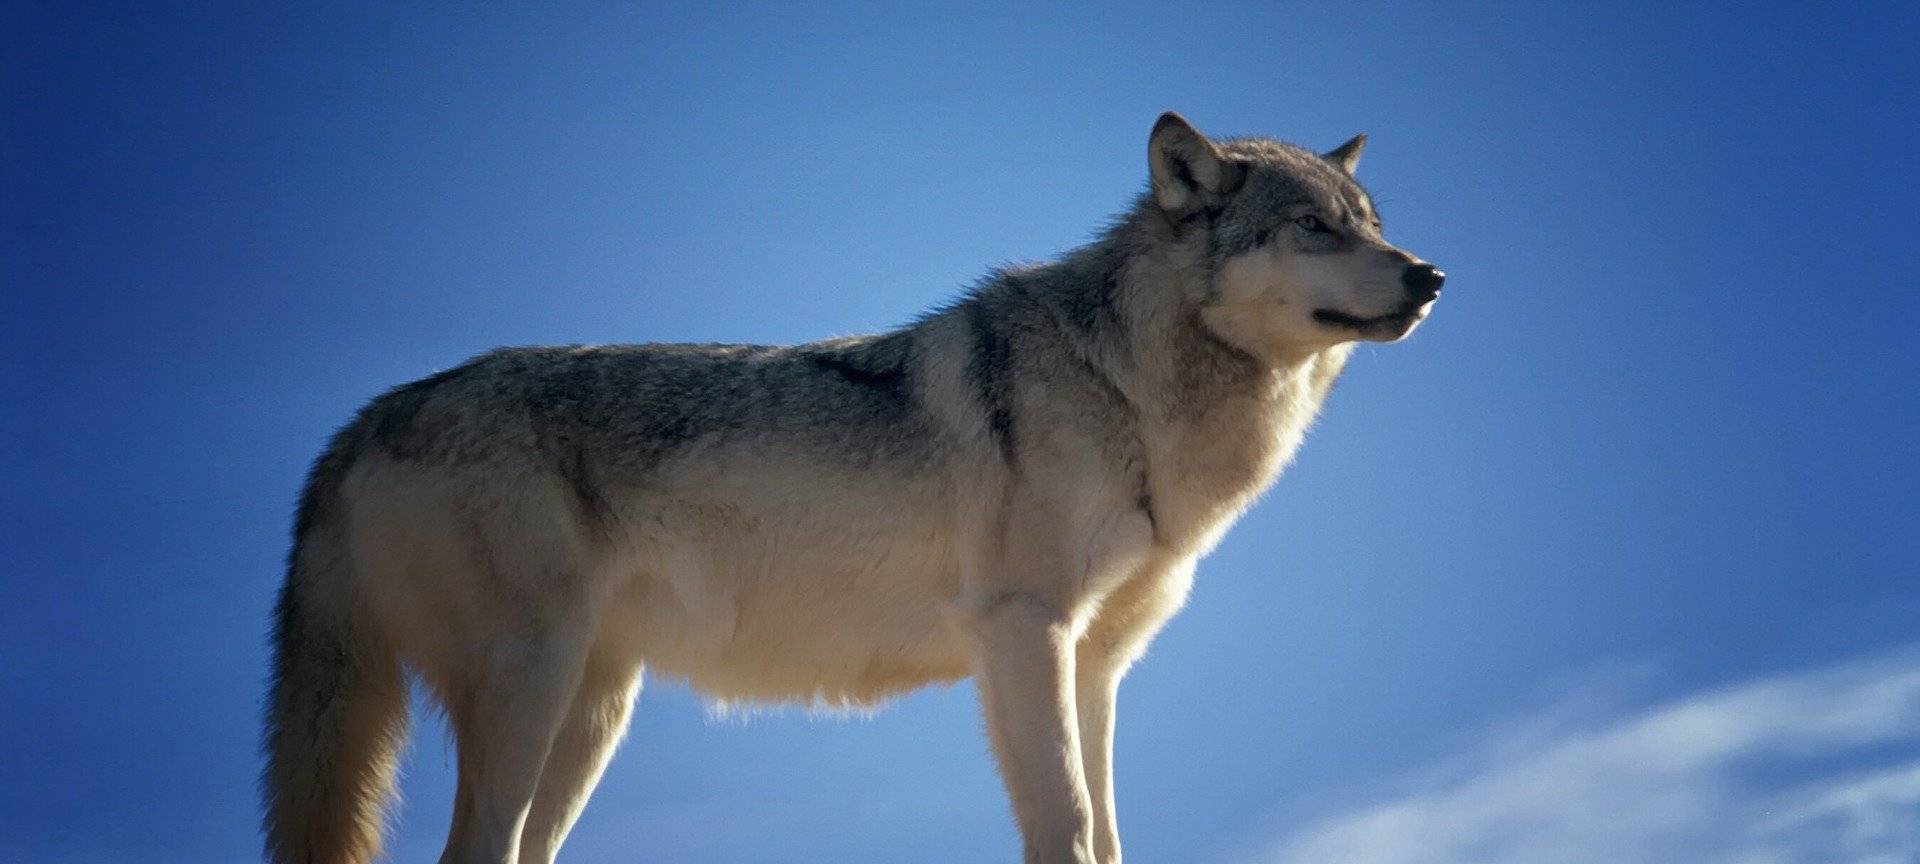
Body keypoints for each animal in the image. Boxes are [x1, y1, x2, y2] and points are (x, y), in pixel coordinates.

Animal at [262, 112, 1444, 864]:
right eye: (1314, 228)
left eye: (1373, 221)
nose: (1430, 275)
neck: (1123, 383)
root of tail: (358, 423)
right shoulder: (1024, 633)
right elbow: (1064, 828)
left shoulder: (1097, 663)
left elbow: (1109, 836)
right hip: (532, 688)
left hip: (592, 714)